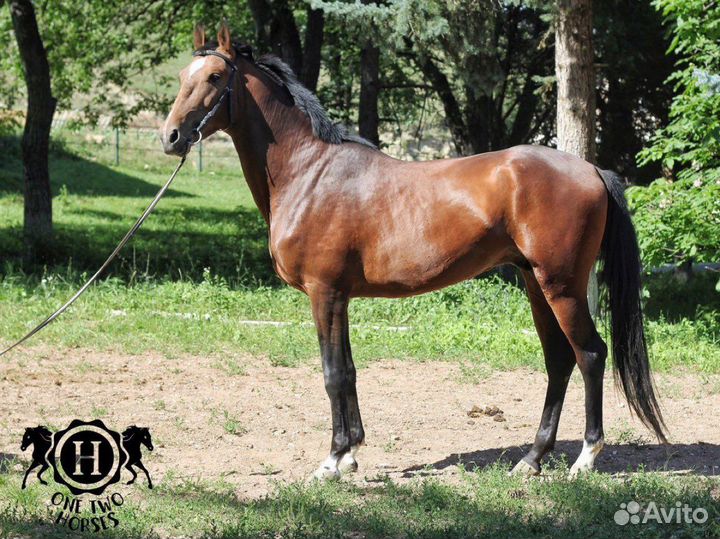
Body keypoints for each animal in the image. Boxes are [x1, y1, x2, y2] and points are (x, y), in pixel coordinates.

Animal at [161, 23, 666, 480]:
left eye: (213, 77)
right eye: (184, 73)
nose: (170, 137)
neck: (310, 172)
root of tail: (592, 169)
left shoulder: (324, 293)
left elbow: (332, 373)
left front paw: (332, 461)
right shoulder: (341, 297)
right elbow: (349, 370)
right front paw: (351, 453)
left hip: (560, 285)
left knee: (590, 356)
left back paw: (584, 459)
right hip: (535, 284)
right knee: (559, 360)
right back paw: (531, 459)